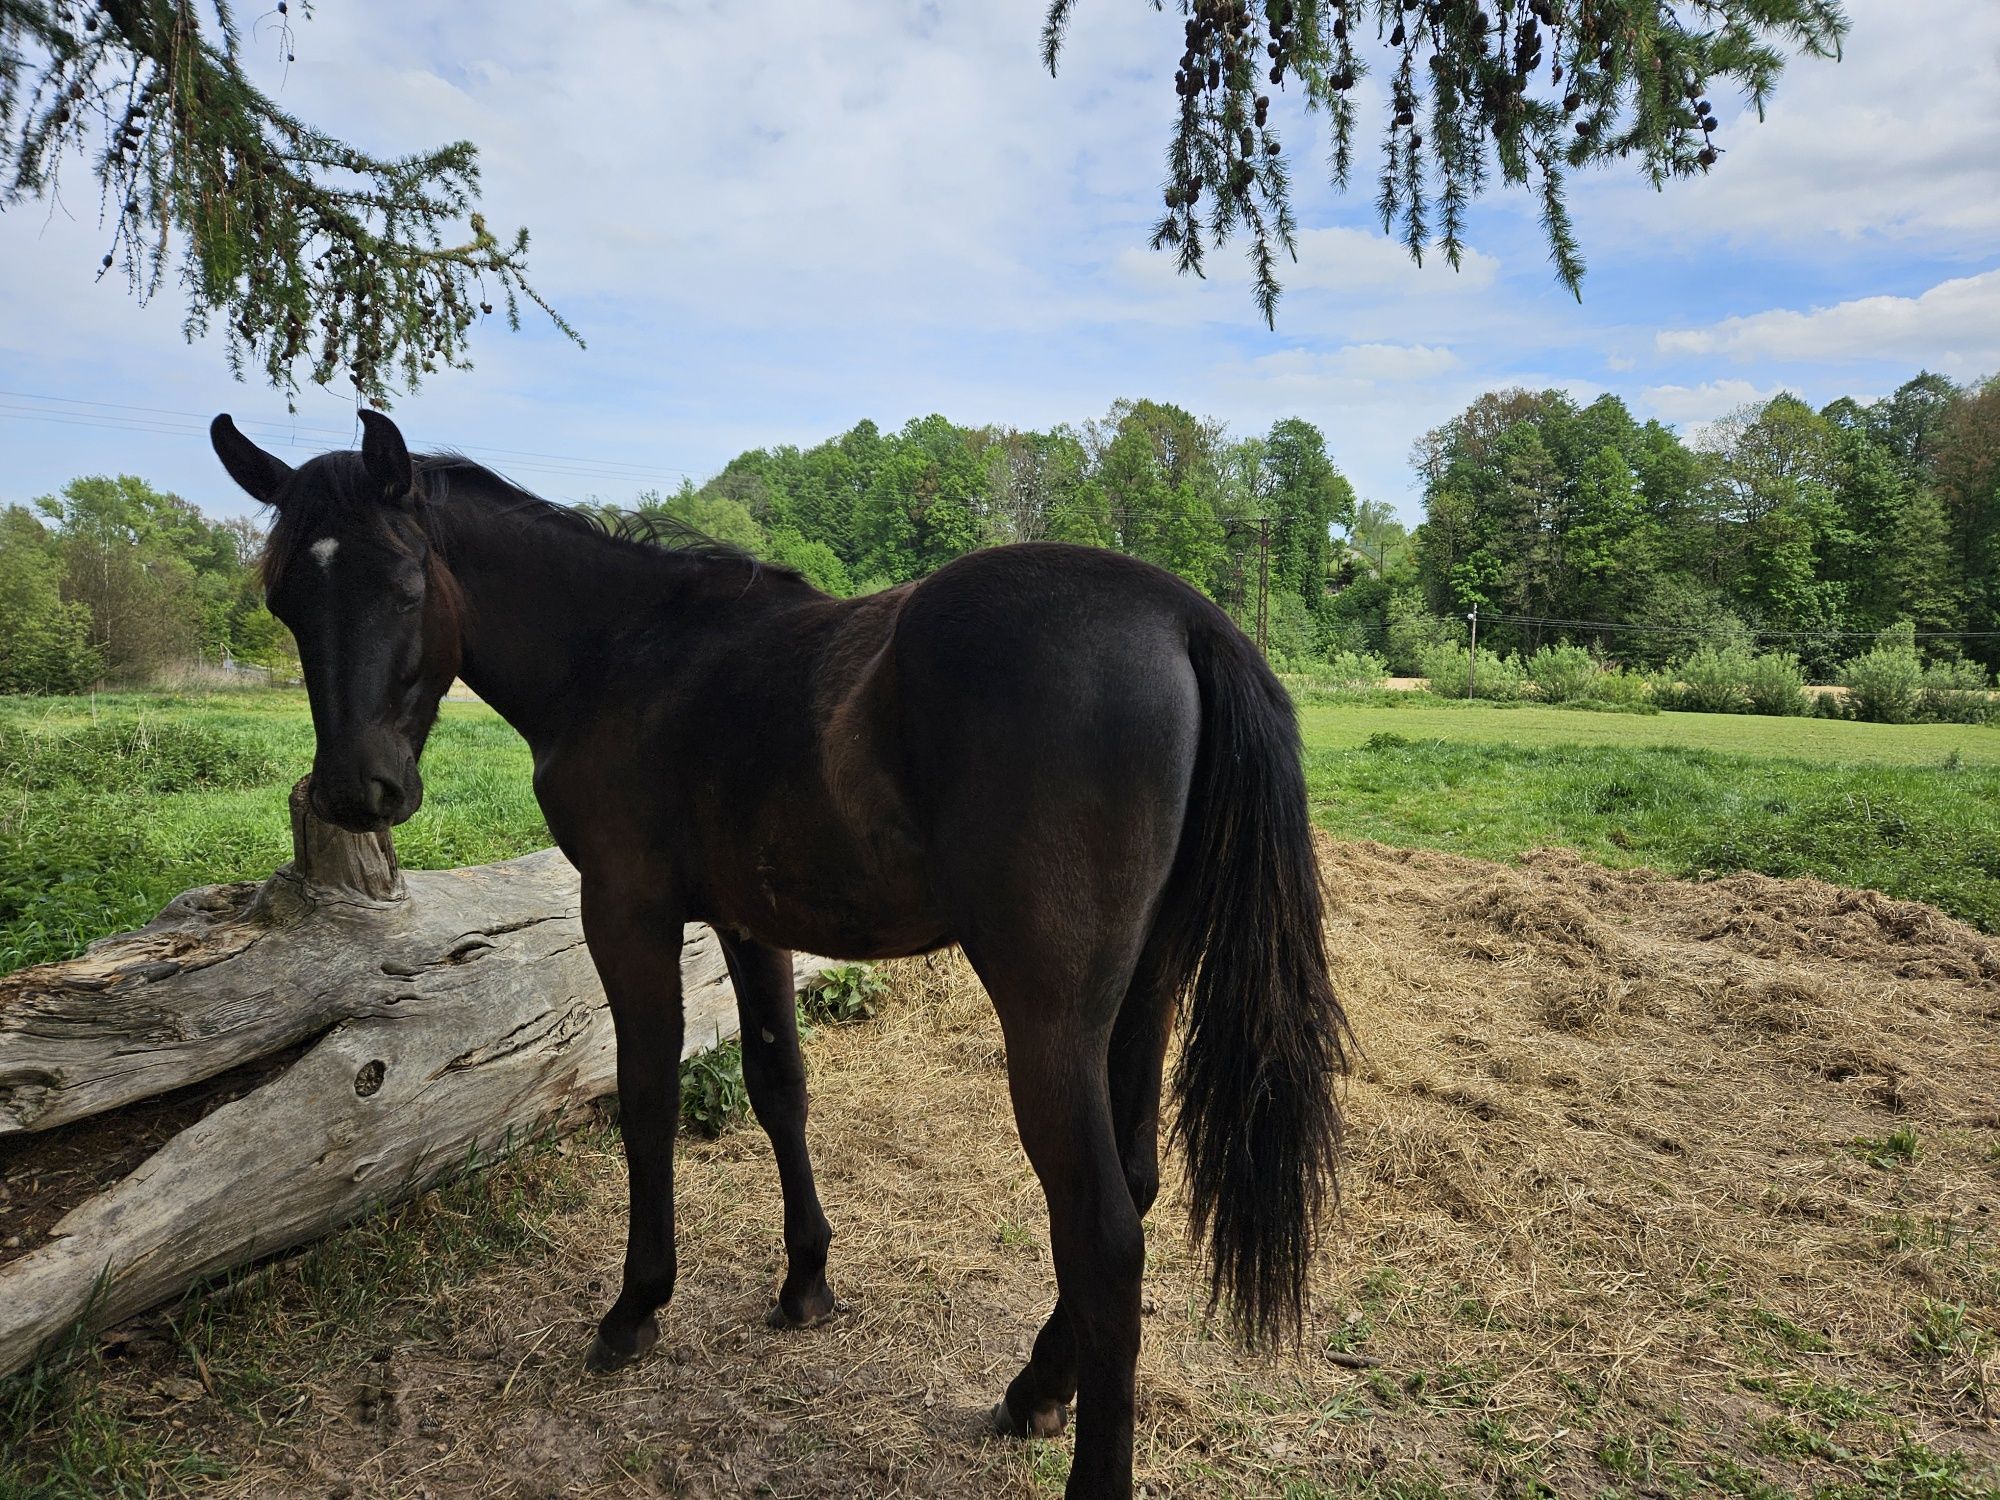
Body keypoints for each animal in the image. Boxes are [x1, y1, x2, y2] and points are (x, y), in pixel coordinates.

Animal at [211, 412, 1352, 1500]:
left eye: (405, 584)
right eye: (285, 600)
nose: (357, 790)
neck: (622, 652)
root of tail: (1185, 617)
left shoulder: (625, 910)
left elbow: (647, 1098)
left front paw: (636, 1306)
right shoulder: (746, 924)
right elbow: (777, 1087)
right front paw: (805, 1281)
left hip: (1051, 1020)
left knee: (1104, 1234)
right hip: (1144, 995)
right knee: (1139, 1180)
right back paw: (1035, 1386)